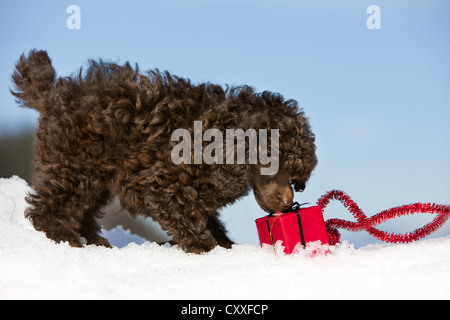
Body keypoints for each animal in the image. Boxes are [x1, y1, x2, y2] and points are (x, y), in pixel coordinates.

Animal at [12, 49, 318, 252]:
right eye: (272, 165)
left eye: (295, 176)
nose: (288, 203)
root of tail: (53, 95)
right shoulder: (160, 184)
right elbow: (187, 218)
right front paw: (205, 248)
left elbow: (206, 216)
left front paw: (224, 245)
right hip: (76, 163)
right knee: (51, 207)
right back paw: (66, 239)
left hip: (96, 172)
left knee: (83, 208)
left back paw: (95, 243)